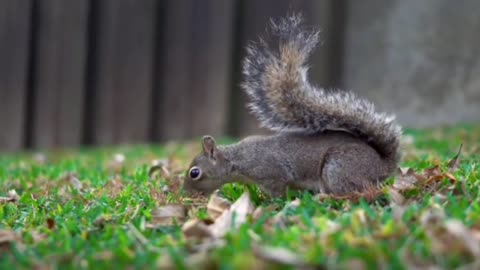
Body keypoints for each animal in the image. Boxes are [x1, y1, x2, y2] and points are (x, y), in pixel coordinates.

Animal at [184, 14, 402, 196]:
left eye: (194, 173)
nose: (185, 193)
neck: (236, 159)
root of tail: (382, 165)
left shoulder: (272, 174)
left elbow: (278, 192)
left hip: (339, 168)